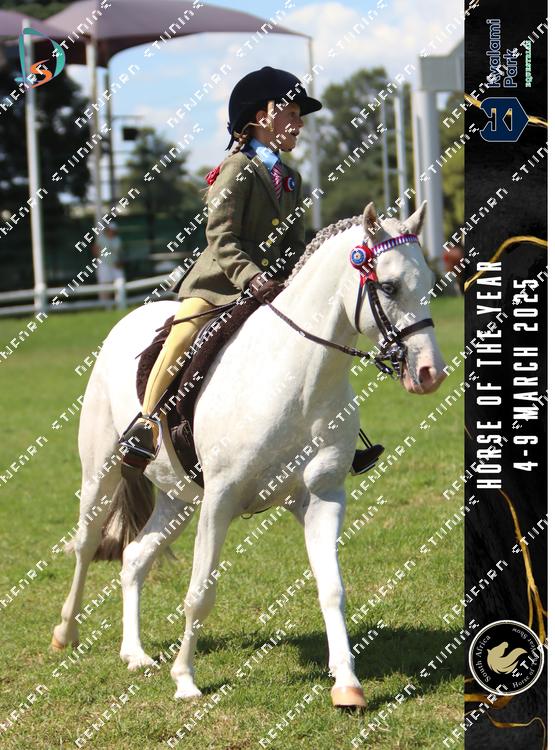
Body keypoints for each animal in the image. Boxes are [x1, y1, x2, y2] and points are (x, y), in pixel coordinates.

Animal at [52, 201, 446, 707]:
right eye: (390, 285)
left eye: (430, 281)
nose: (430, 372)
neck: (299, 379)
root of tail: (127, 321)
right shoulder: (220, 499)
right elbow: (200, 594)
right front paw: (185, 680)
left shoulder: (322, 498)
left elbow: (332, 589)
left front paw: (347, 684)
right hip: (101, 474)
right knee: (85, 545)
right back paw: (66, 633)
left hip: (180, 499)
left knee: (135, 556)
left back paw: (134, 654)